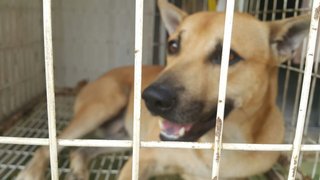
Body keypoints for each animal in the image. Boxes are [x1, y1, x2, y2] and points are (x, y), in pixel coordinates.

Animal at [15, 0, 310, 179]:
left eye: (228, 56)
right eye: (173, 45)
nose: (151, 98)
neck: (222, 144)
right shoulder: (141, 160)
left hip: (122, 137)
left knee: (79, 150)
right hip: (104, 105)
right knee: (49, 145)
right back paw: (31, 172)